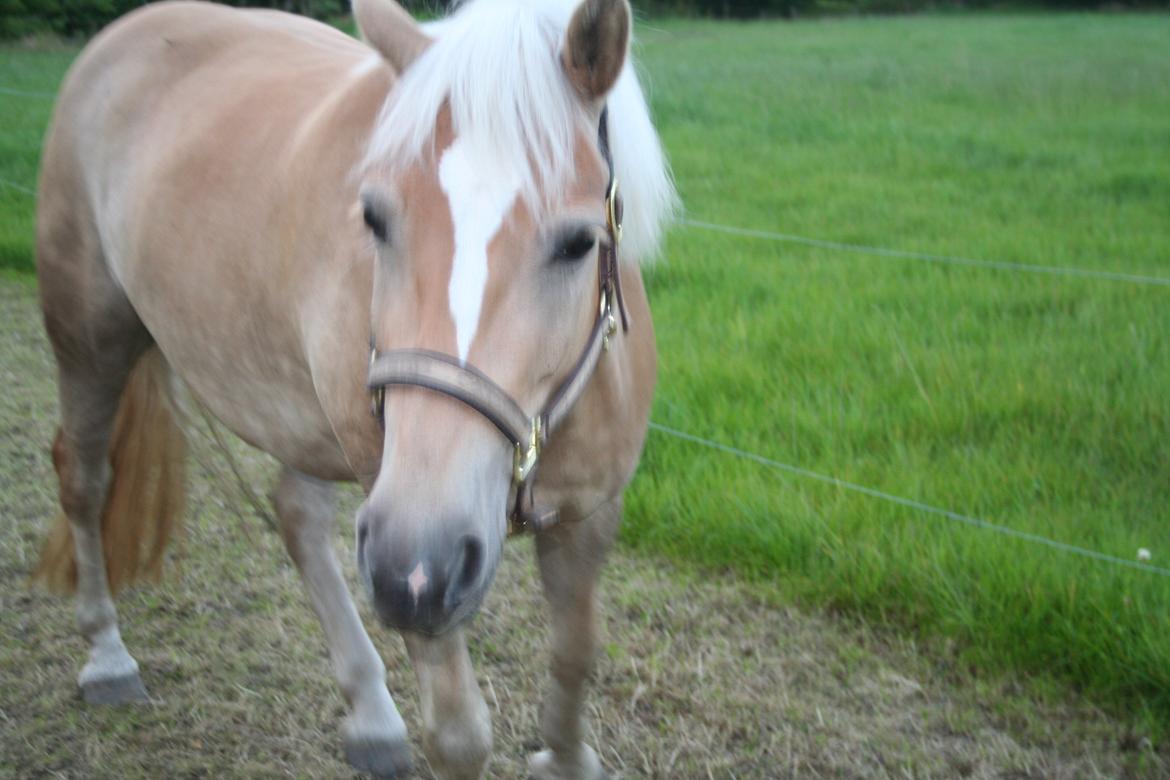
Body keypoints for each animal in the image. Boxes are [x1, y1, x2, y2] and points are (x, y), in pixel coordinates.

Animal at [32, 0, 673, 776]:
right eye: (374, 218)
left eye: (579, 243)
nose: (417, 567)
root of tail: (124, 35)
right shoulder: (403, 537)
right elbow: (459, 733)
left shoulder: (588, 516)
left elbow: (577, 654)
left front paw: (565, 757)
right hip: (91, 340)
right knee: (85, 480)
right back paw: (107, 656)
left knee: (297, 516)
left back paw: (370, 713)